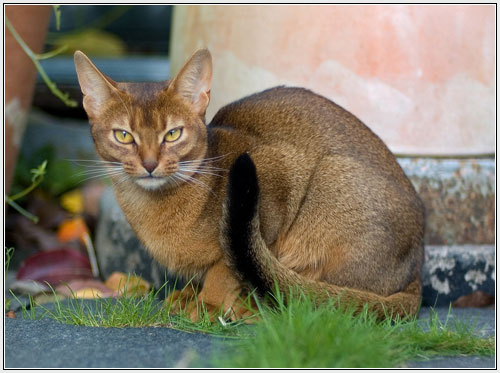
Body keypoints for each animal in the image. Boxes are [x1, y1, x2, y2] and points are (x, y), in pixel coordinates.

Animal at [74, 46, 424, 320]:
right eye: (123, 136)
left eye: (172, 134)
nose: (149, 164)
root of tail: (417, 270)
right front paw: (189, 295)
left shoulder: (273, 170)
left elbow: (226, 266)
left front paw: (209, 305)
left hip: (330, 178)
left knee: (310, 301)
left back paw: (252, 309)